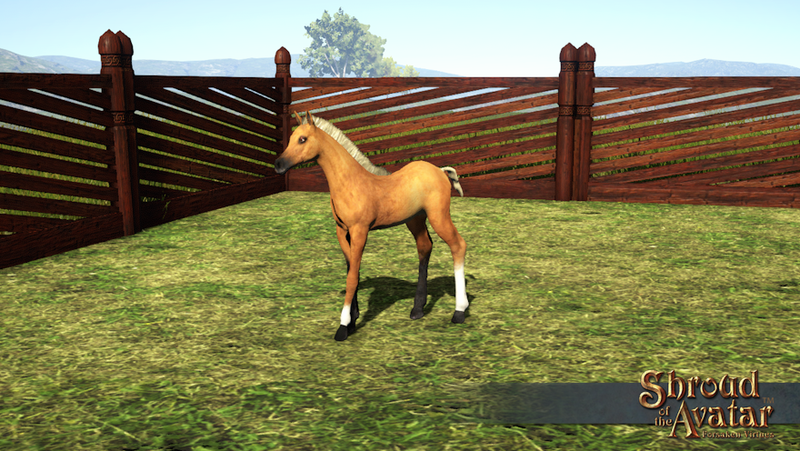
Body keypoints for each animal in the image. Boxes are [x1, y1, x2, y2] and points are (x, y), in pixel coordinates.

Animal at [274, 111, 468, 341]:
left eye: (302, 139)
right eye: (291, 138)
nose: (278, 165)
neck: (351, 182)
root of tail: (440, 170)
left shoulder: (360, 230)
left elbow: (352, 276)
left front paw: (343, 326)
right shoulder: (342, 231)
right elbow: (352, 270)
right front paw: (352, 319)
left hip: (439, 216)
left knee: (458, 245)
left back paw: (459, 312)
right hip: (415, 220)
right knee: (425, 247)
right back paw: (417, 309)